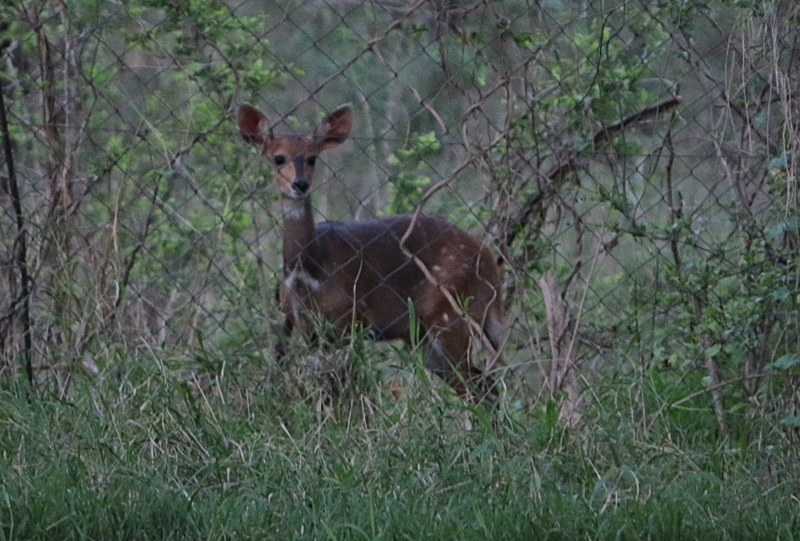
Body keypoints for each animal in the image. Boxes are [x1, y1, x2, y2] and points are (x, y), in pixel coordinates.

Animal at [234, 103, 506, 402]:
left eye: (312, 158)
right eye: (278, 158)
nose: (300, 185)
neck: (309, 268)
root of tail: (489, 263)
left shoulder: (350, 322)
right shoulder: (306, 326)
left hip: (450, 316)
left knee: (482, 385)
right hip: (422, 336)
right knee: (480, 385)